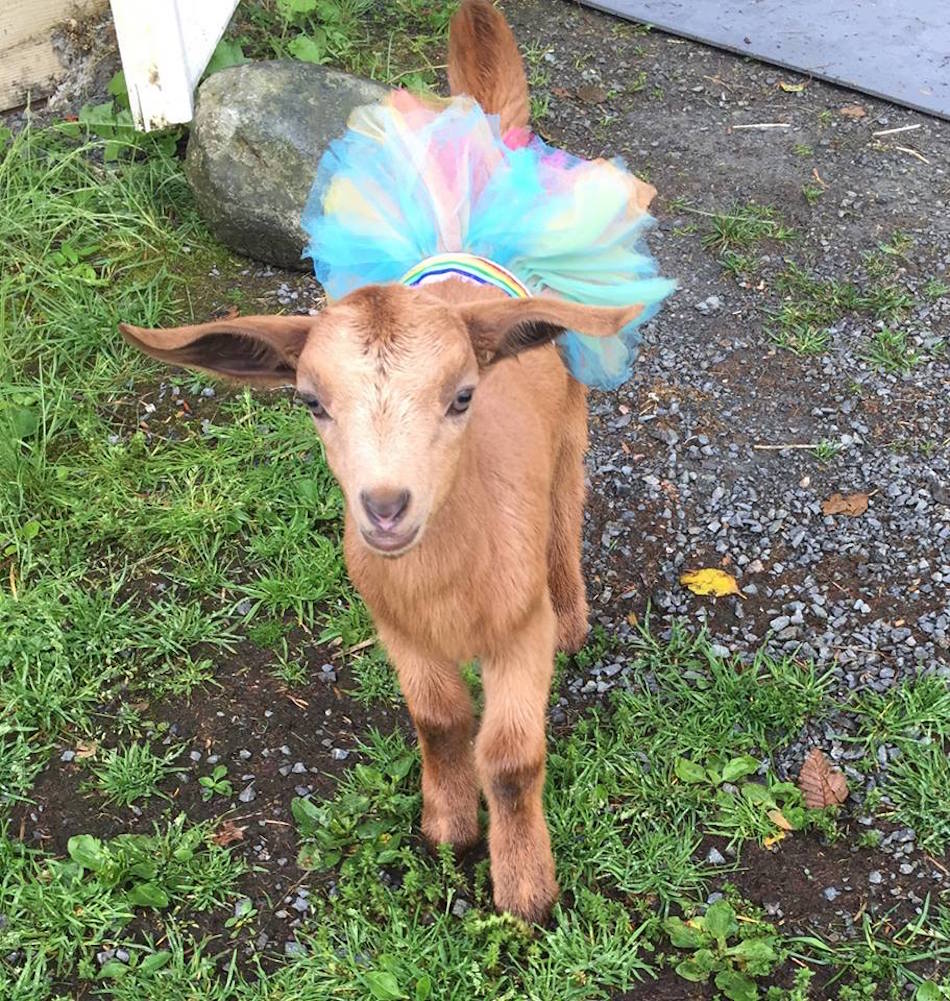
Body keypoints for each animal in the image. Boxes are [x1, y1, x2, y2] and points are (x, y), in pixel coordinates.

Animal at [120, 0, 651, 922]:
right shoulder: (396, 626)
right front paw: (447, 829)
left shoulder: (518, 634)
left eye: (465, 395)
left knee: (567, 506)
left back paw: (577, 611)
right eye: (310, 401)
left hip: (571, 436)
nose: (386, 506)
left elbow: (512, 752)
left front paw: (526, 889)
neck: (448, 585)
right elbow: (438, 719)